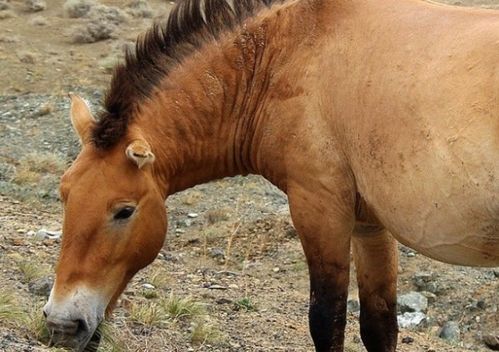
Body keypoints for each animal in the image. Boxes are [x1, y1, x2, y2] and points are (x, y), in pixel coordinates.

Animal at [43, 0, 499, 350]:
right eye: (64, 194)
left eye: (123, 211)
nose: (62, 324)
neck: (289, 53)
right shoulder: (369, 225)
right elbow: (379, 326)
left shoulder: (319, 210)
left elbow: (327, 321)